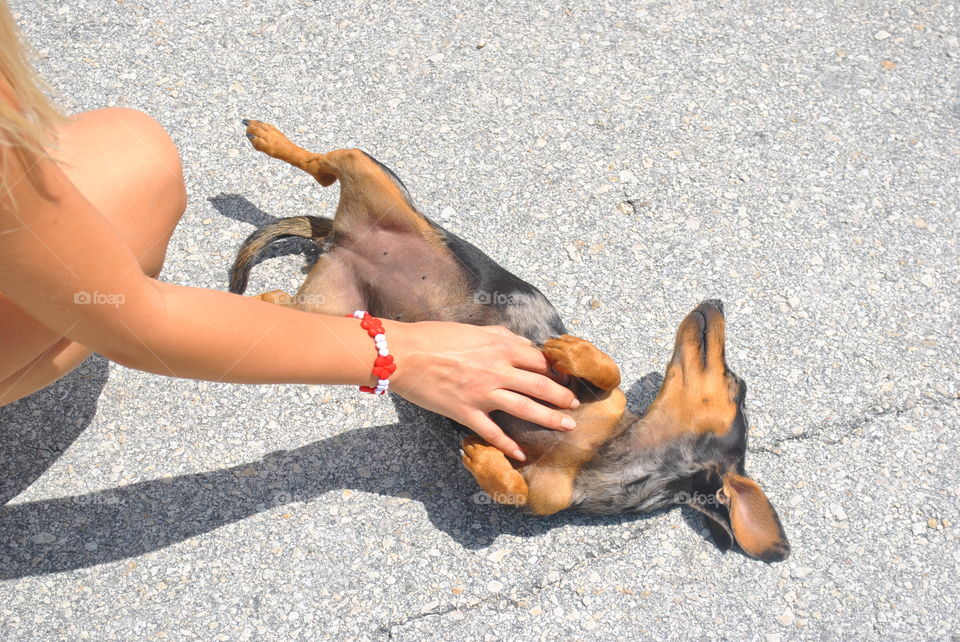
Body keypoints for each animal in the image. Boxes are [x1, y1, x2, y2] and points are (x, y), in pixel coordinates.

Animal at [231, 120, 788, 560]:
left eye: (736, 386)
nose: (716, 302)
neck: (602, 450)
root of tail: (338, 240)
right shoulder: (585, 389)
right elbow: (608, 372)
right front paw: (567, 349)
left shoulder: (546, 497)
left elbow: (517, 494)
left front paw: (485, 461)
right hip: (372, 175)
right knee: (325, 160)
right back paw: (267, 136)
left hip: (327, 310)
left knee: (278, 296)